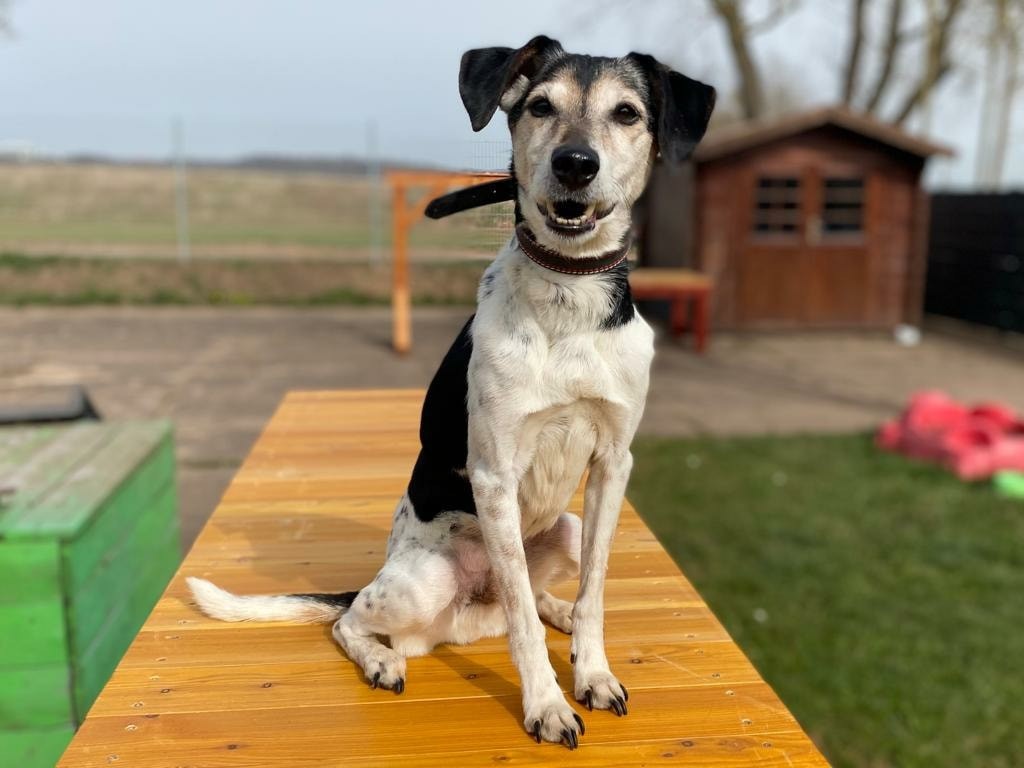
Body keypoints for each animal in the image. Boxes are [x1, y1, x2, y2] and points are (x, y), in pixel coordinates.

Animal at [193, 37, 720, 753]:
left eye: (628, 113)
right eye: (539, 106)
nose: (575, 164)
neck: (570, 294)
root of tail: (469, 617)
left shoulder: (614, 464)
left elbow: (594, 593)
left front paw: (590, 671)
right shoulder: (495, 473)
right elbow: (523, 626)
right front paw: (546, 705)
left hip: (569, 527)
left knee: (532, 592)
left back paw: (553, 611)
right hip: (425, 579)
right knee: (354, 621)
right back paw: (382, 659)